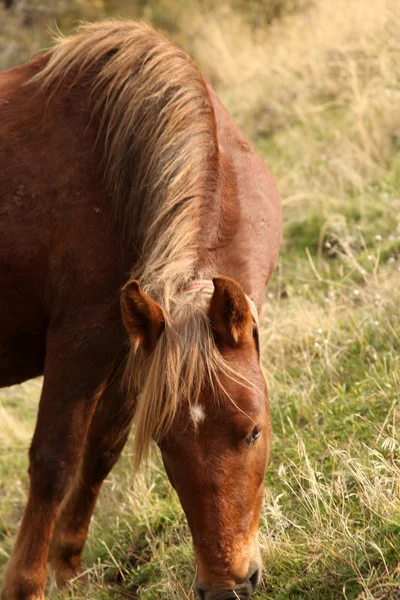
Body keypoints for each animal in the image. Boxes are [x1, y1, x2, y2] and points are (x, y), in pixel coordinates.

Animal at [0, 21, 282, 600]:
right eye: (166, 442)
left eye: (252, 432)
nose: (227, 586)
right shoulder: (81, 343)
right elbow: (55, 460)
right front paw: (27, 585)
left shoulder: (129, 346)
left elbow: (101, 450)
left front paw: (68, 567)